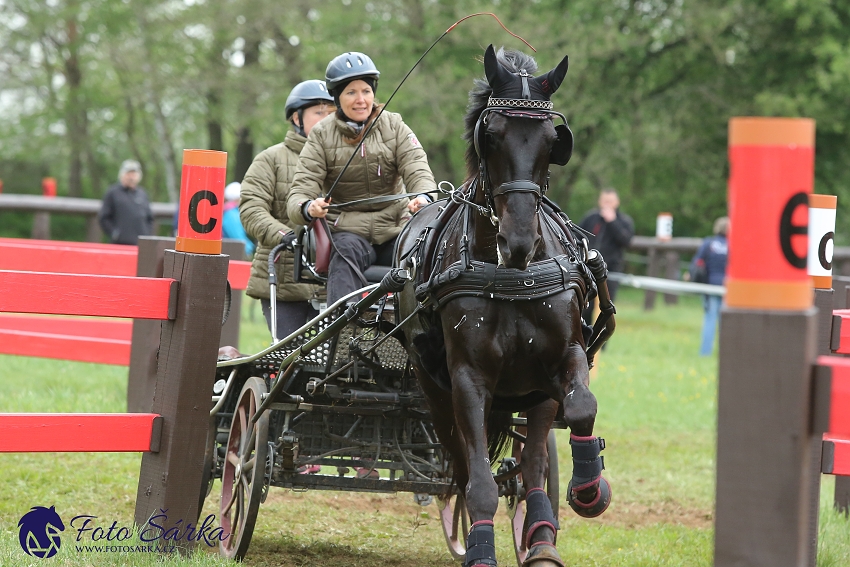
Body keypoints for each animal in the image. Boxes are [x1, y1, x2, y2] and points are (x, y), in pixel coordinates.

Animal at [394, 45, 612, 567]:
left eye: (554, 140)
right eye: (491, 135)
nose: (519, 241)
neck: (509, 276)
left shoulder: (562, 358)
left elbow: (580, 409)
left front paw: (588, 490)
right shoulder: (468, 380)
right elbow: (478, 482)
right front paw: (479, 548)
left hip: (532, 392)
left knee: (531, 462)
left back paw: (541, 536)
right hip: (435, 389)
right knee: (459, 463)